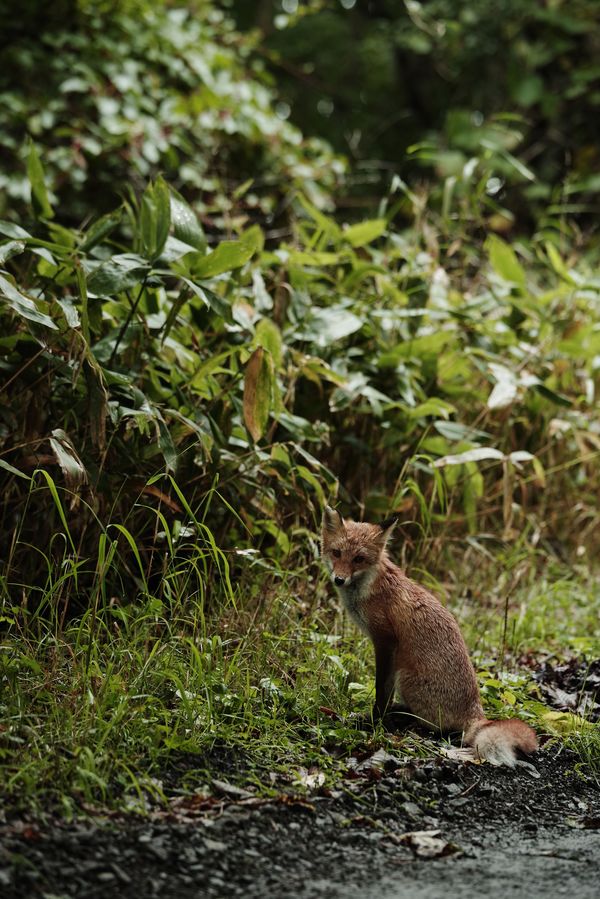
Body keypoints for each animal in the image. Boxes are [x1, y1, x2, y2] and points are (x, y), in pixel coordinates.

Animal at [324, 506, 540, 768]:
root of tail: (475, 711)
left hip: (406, 678)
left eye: (359, 559)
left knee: (435, 726)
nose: (339, 579)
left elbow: (381, 689)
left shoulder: (386, 641)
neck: (368, 587)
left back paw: (405, 721)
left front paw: (376, 720)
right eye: (336, 553)